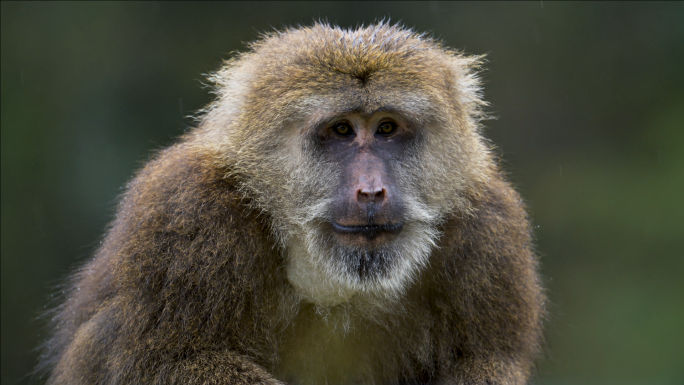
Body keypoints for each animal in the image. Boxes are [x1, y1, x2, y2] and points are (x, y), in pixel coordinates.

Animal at [38, 22, 544, 382]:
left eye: (386, 128)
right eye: (341, 130)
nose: (372, 190)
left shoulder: (489, 230)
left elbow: (486, 363)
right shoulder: (185, 214)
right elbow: (165, 361)